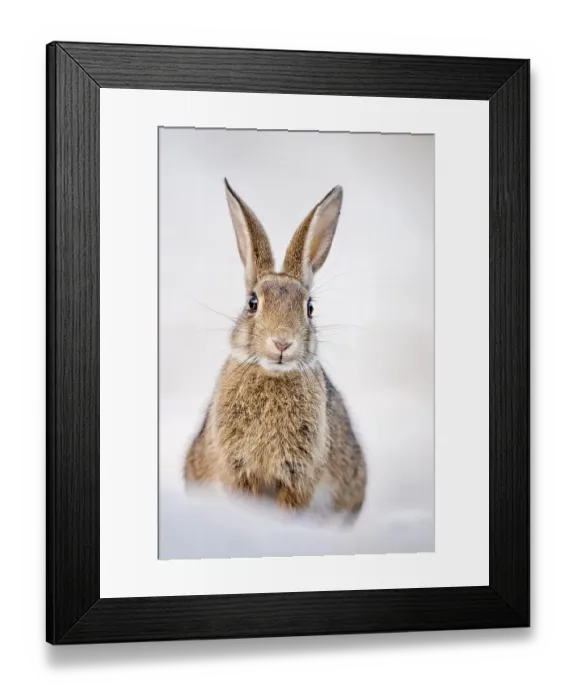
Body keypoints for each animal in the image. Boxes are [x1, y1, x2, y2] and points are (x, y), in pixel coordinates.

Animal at [184, 179, 367, 516]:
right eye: (252, 303)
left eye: (309, 308)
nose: (282, 342)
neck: (272, 375)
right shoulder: (238, 468)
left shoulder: (300, 473)